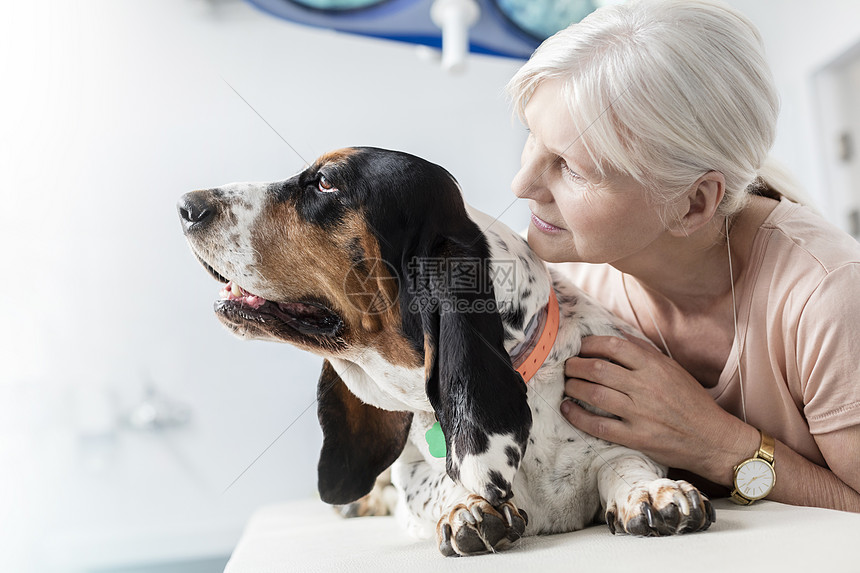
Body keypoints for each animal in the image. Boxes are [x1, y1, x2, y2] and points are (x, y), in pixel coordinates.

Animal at [178, 146, 716, 556]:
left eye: (325, 182)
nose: (185, 203)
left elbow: (623, 461)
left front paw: (652, 492)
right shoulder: (414, 475)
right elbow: (431, 486)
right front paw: (467, 507)